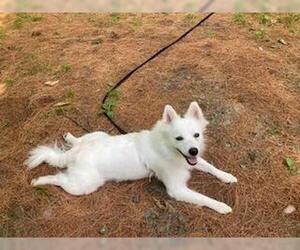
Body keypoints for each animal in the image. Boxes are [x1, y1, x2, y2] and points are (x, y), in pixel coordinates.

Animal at [25, 102, 237, 214]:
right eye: (179, 138)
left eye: (196, 135)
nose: (194, 151)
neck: (167, 148)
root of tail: (77, 152)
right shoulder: (177, 188)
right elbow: (204, 198)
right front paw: (221, 206)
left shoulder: (191, 162)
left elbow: (211, 167)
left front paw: (227, 176)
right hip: (85, 185)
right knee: (58, 178)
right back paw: (39, 181)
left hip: (99, 135)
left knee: (79, 140)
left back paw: (71, 137)